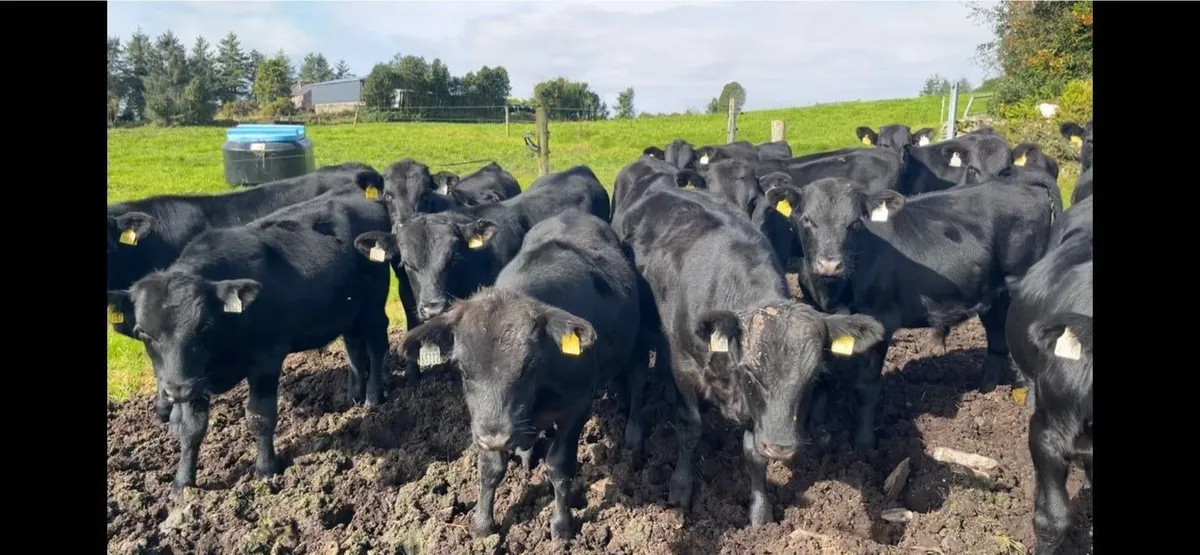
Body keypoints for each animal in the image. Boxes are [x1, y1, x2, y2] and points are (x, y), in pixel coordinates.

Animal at [105, 192, 392, 499]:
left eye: (204, 325)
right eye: (144, 333)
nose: (177, 390)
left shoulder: (265, 361)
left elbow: (260, 416)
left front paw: (266, 468)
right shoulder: (193, 378)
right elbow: (191, 428)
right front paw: (182, 483)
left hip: (373, 305)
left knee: (376, 346)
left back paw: (372, 397)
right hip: (350, 311)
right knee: (354, 347)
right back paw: (352, 396)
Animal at [400, 209, 644, 542]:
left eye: (529, 365)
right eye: (462, 368)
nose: (495, 435)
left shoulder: (578, 404)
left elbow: (559, 465)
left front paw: (562, 525)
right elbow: (490, 468)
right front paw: (482, 523)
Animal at [615, 185, 885, 526]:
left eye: (811, 378)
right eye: (751, 373)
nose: (781, 447)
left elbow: (754, 453)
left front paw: (760, 512)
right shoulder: (684, 367)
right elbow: (689, 428)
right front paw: (680, 487)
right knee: (637, 378)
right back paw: (635, 433)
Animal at [763, 176, 1060, 451]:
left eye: (855, 223)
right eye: (806, 220)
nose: (829, 264)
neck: (833, 290)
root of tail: (1022, 183)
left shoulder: (881, 320)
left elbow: (867, 387)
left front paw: (863, 443)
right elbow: (822, 374)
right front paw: (819, 429)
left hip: (1017, 287)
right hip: (993, 293)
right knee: (997, 340)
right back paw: (985, 391)